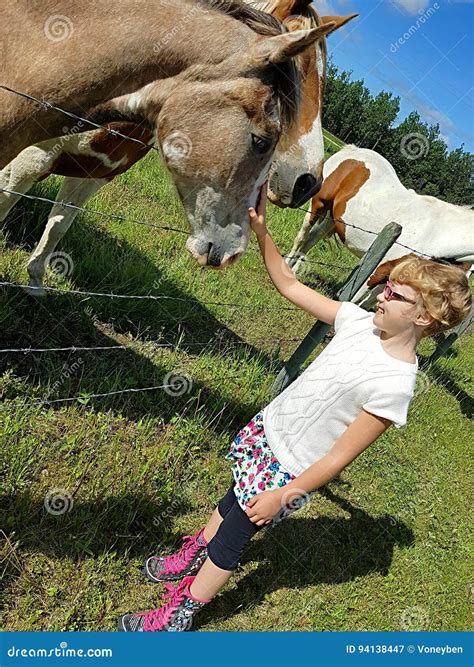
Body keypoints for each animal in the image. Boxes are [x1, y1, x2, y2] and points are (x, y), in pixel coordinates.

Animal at [286, 147, 472, 302]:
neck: (435, 235)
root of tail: (353, 150)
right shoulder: (378, 270)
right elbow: (355, 299)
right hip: (318, 205)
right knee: (301, 238)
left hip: (332, 219)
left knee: (310, 241)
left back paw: (294, 272)